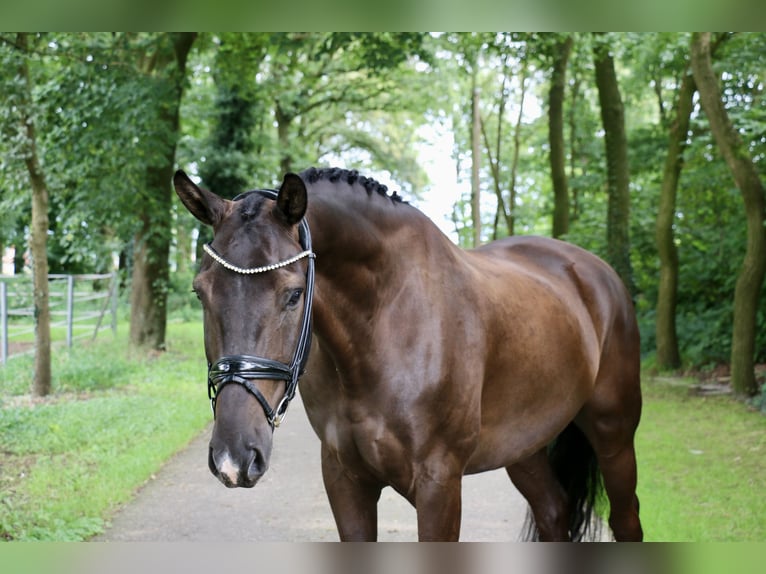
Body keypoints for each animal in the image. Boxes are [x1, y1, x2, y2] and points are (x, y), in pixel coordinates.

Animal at [172, 168, 640, 544]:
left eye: (293, 294)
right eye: (200, 292)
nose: (234, 456)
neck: (381, 328)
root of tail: (594, 271)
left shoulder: (439, 484)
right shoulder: (344, 480)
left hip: (613, 435)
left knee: (626, 522)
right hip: (524, 447)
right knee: (553, 511)